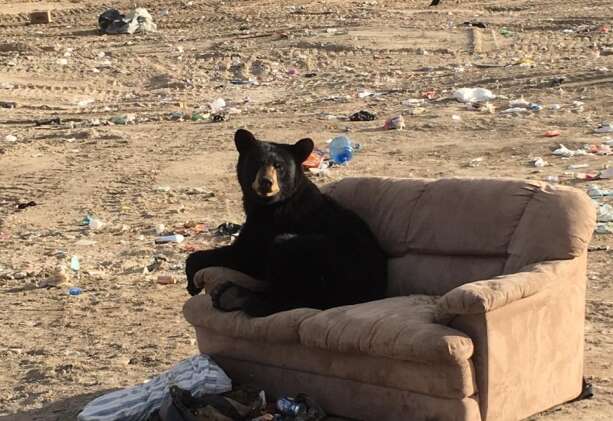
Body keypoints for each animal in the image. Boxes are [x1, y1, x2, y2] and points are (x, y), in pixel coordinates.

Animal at [185, 128, 388, 316]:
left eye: (279, 166)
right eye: (257, 162)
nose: (266, 182)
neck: (270, 205)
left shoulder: (272, 225)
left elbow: (246, 255)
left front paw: (192, 282)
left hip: (324, 260)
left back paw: (236, 296)